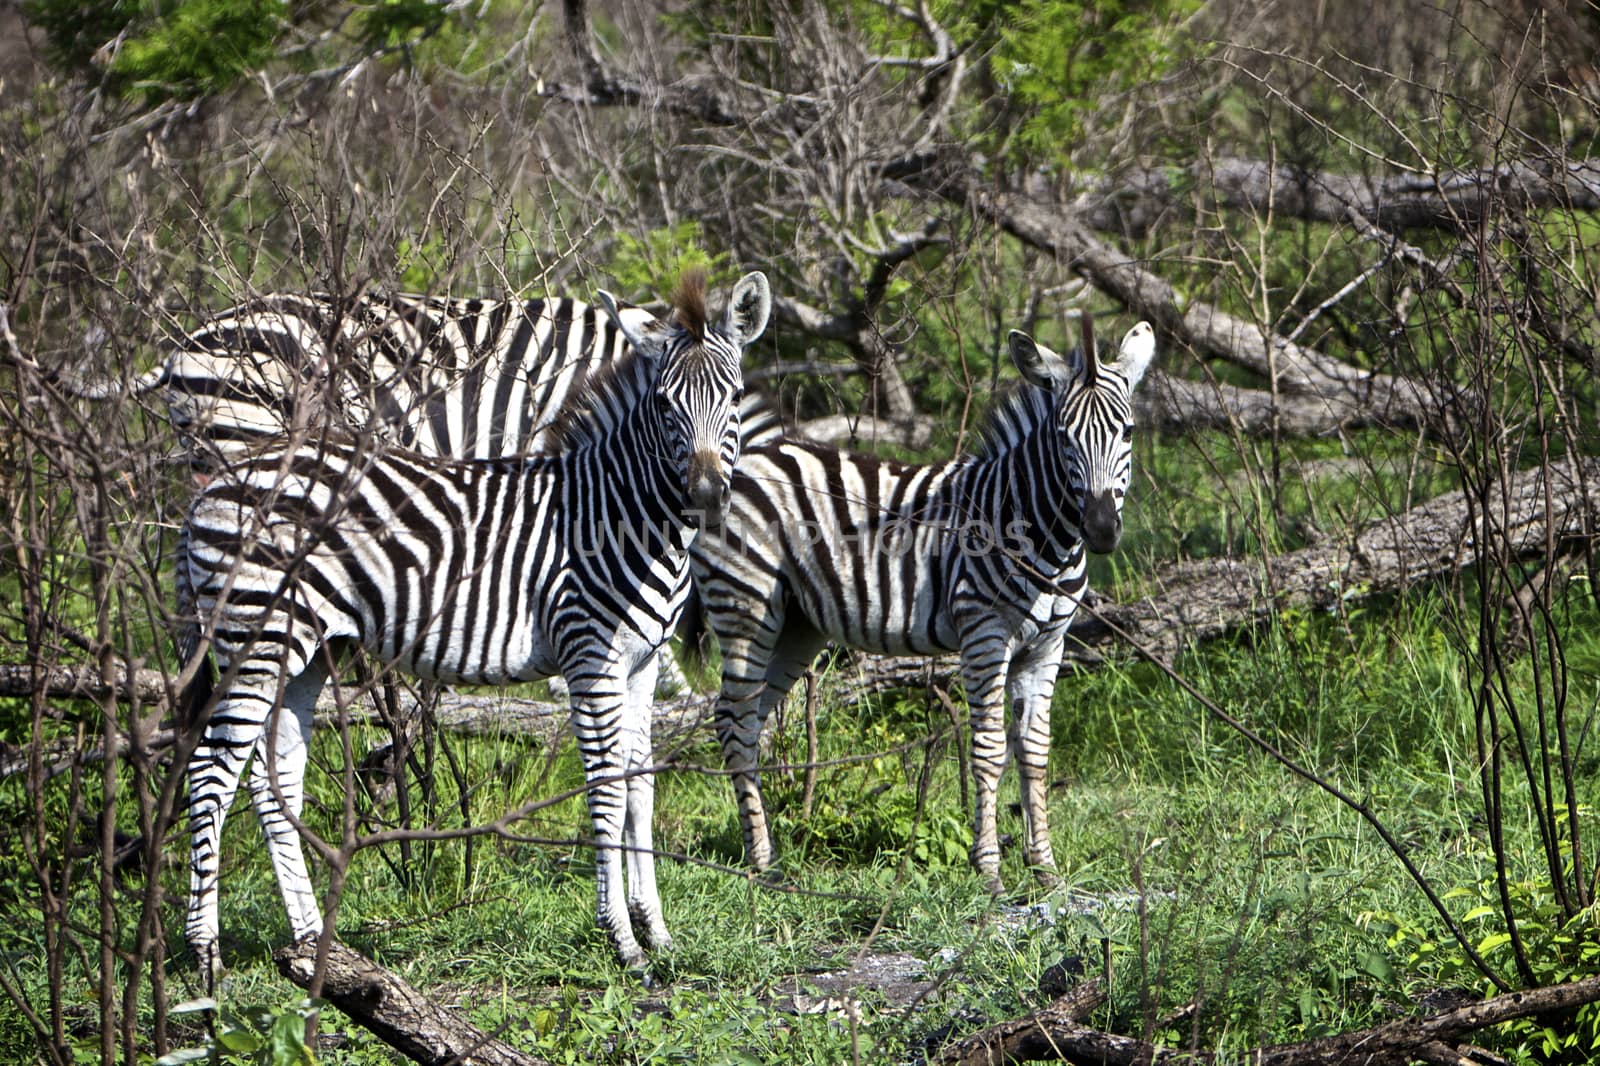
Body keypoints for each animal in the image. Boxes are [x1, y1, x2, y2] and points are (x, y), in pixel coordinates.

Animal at [175, 267, 768, 979]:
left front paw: (657, 930)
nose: (706, 496)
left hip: (309, 651)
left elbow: (640, 788)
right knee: (211, 770)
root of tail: (218, 484)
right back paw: (205, 954)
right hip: (255, 638)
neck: (616, 512)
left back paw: (315, 941)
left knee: (272, 778)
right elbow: (604, 789)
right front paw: (622, 941)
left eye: (733, 396)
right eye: (664, 404)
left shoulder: (642, 661)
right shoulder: (589, 654)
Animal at [688, 313, 1152, 889]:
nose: (1103, 529)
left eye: (1127, 432)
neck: (1034, 529)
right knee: (731, 718)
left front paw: (1044, 869)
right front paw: (990, 871)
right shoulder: (984, 635)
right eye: (1064, 437)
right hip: (745, 605)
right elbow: (989, 750)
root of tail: (746, 459)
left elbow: (1035, 751)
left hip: (796, 625)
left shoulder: (1048, 647)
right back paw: (760, 861)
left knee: (750, 720)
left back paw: (768, 855)